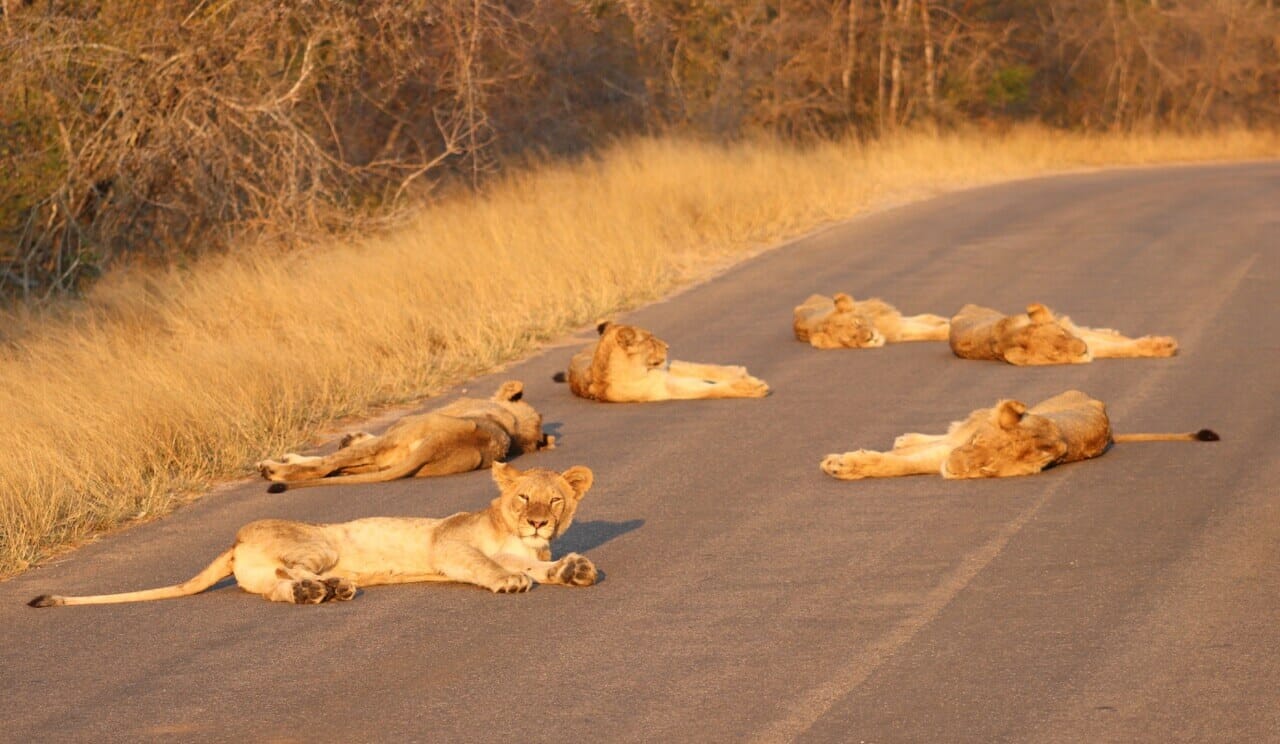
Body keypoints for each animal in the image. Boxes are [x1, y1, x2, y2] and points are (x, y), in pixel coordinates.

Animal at [28, 460, 599, 606]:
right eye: (522, 497)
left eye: (555, 500)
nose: (538, 520)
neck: (518, 538)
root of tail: (235, 540)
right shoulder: (449, 543)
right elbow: (486, 565)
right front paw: (508, 582)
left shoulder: (527, 551)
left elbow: (540, 567)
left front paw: (572, 570)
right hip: (319, 543)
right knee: (293, 570)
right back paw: (329, 587)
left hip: (265, 573)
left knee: (276, 588)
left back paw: (320, 591)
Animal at [254, 379, 550, 489]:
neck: (514, 425)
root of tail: (442, 443)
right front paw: (350, 436)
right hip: (394, 456)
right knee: (338, 468)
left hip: (402, 431)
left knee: (326, 466)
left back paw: (271, 469)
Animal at [552, 318, 768, 399]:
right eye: (649, 338)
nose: (667, 346)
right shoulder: (668, 388)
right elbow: (712, 390)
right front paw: (753, 387)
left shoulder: (666, 368)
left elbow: (706, 368)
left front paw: (741, 373)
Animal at [952, 298, 1177, 363]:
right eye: (1056, 353)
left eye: (1062, 334)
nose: (1082, 348)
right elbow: (1120, 349)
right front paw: (1165, 346)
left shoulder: (1074, 330)